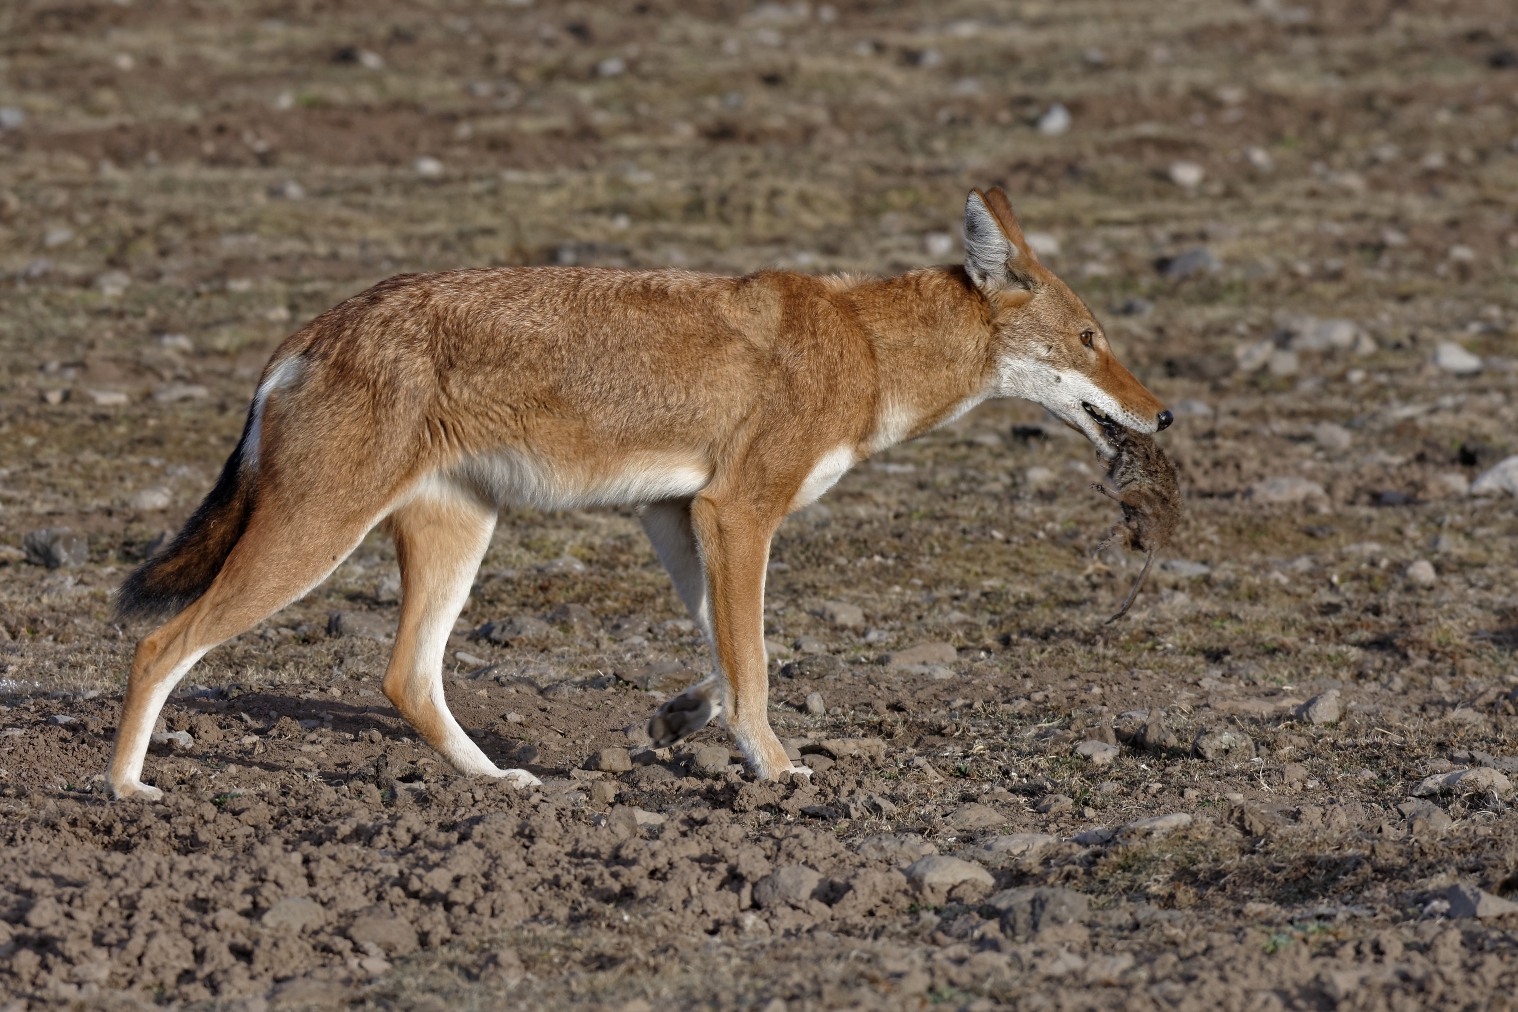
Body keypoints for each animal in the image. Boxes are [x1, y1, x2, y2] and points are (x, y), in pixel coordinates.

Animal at [105, 187, 1170, 799]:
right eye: (1091, 340)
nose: (1162, 417)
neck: (867, 347)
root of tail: (314, 329)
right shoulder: (737, 513)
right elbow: (756, 661)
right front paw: (774, 768)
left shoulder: (675, 514)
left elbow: (726, 657)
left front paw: (682, 721)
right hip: (315, 540)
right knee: (161, 643)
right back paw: (124, 790)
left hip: (456, 539)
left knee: (405, 677)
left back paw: (501, 780)